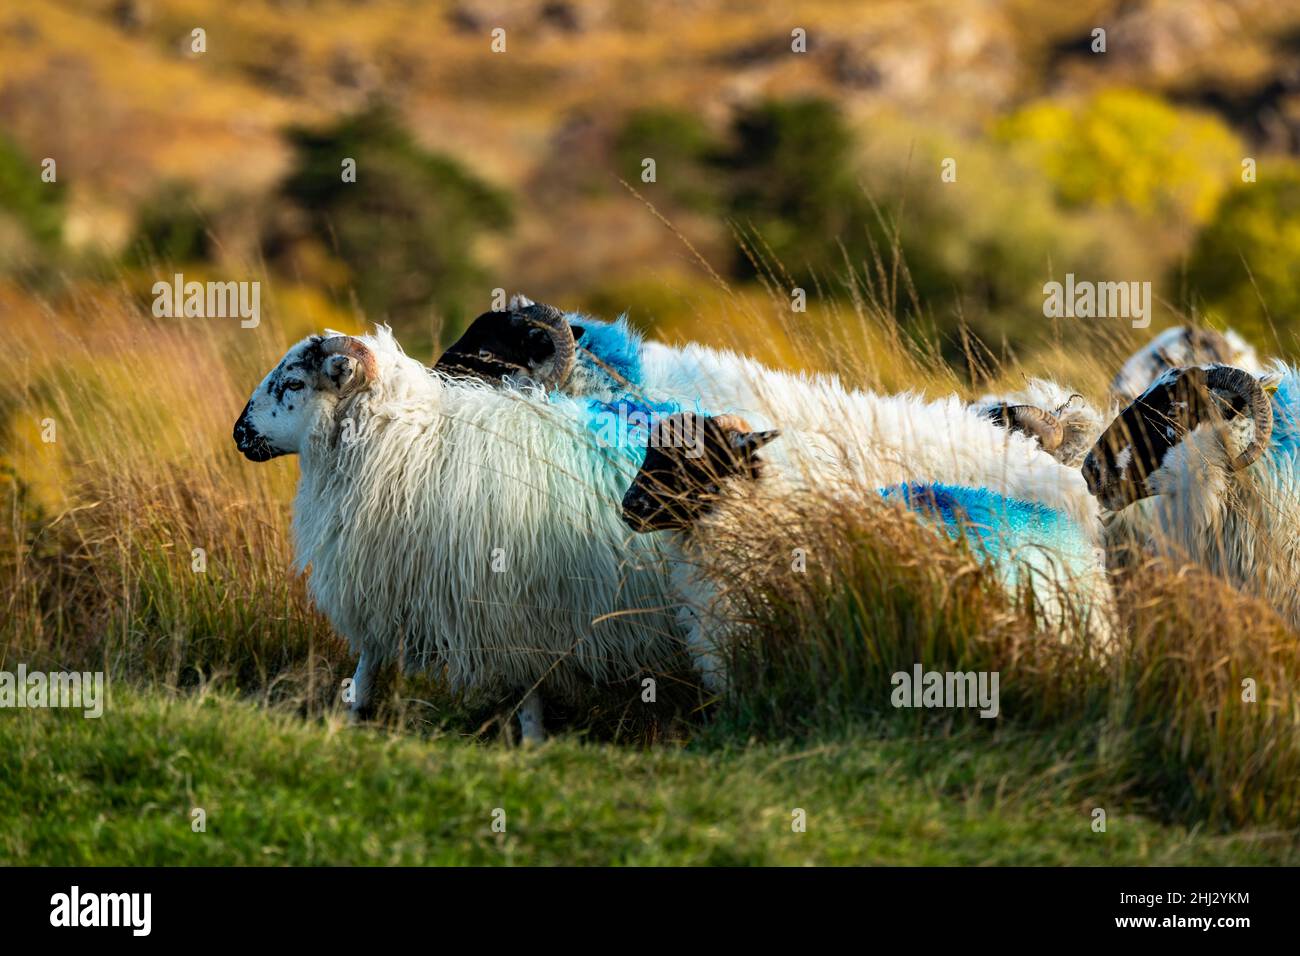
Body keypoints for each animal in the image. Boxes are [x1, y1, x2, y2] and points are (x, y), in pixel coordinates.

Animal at [237, 327, 696, 738]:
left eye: (294, 383)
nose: (239, 433)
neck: (408, 445)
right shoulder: (392, 579)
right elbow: (368, 661)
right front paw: (352, 718)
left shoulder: (509, 609)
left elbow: (528, 694)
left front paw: (532, 744)